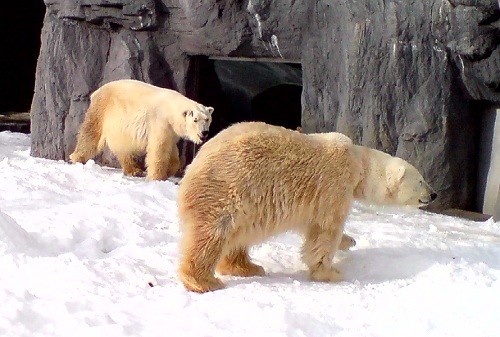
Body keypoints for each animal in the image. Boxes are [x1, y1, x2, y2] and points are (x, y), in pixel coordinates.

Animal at [69, 79, 213, 180]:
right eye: (195, 120)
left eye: (207, 119)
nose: (204, 133)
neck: (171, 109)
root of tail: (96, 92)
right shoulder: (159, 122)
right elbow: (158, 150)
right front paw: (158, 177)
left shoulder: (171, 131)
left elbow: (172, 151)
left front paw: (170, 170)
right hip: (102, 110)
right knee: (91, 133)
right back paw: (77, 158)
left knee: (123, 148)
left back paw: (134, 170)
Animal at [178, 121, 436, 292]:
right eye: (421, 180)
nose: (433, 194)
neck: (358, 163)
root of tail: (192, 167)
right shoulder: (333, 186)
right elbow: (325, 231)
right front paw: (330, 272)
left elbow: (314, 227)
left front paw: (349, 241)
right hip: (228, 190)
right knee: (212, 233)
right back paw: (204, 281)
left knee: (239, 236)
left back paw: (248, 267)